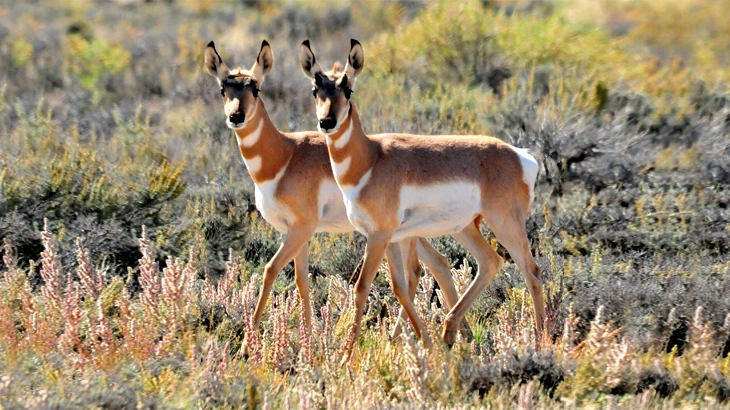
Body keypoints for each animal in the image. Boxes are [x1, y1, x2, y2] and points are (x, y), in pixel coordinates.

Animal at [203, 40, 470, 345]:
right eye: (223, 89)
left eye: (255, 88)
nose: (235, 117)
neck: (285, 155)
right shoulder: (296, 232)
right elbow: (302, 280)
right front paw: (309, 340)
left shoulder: (302, 228)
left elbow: (270, 269)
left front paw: (249, 344)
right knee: (436, 264)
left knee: (420, 270)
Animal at [300, 39, 545, 362]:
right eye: (315, 90)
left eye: (348, 89)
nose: (326, 122)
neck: (371, 158)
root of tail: (520, 155)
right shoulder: (390, 237)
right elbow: (400, 286)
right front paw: (415, 343)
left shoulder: (379, 236)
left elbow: (362, 287)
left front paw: (345, 356)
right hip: (466, 228)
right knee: (490, 262)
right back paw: (449, 333)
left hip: (505, 224)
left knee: (532, 272)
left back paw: (542, 343)